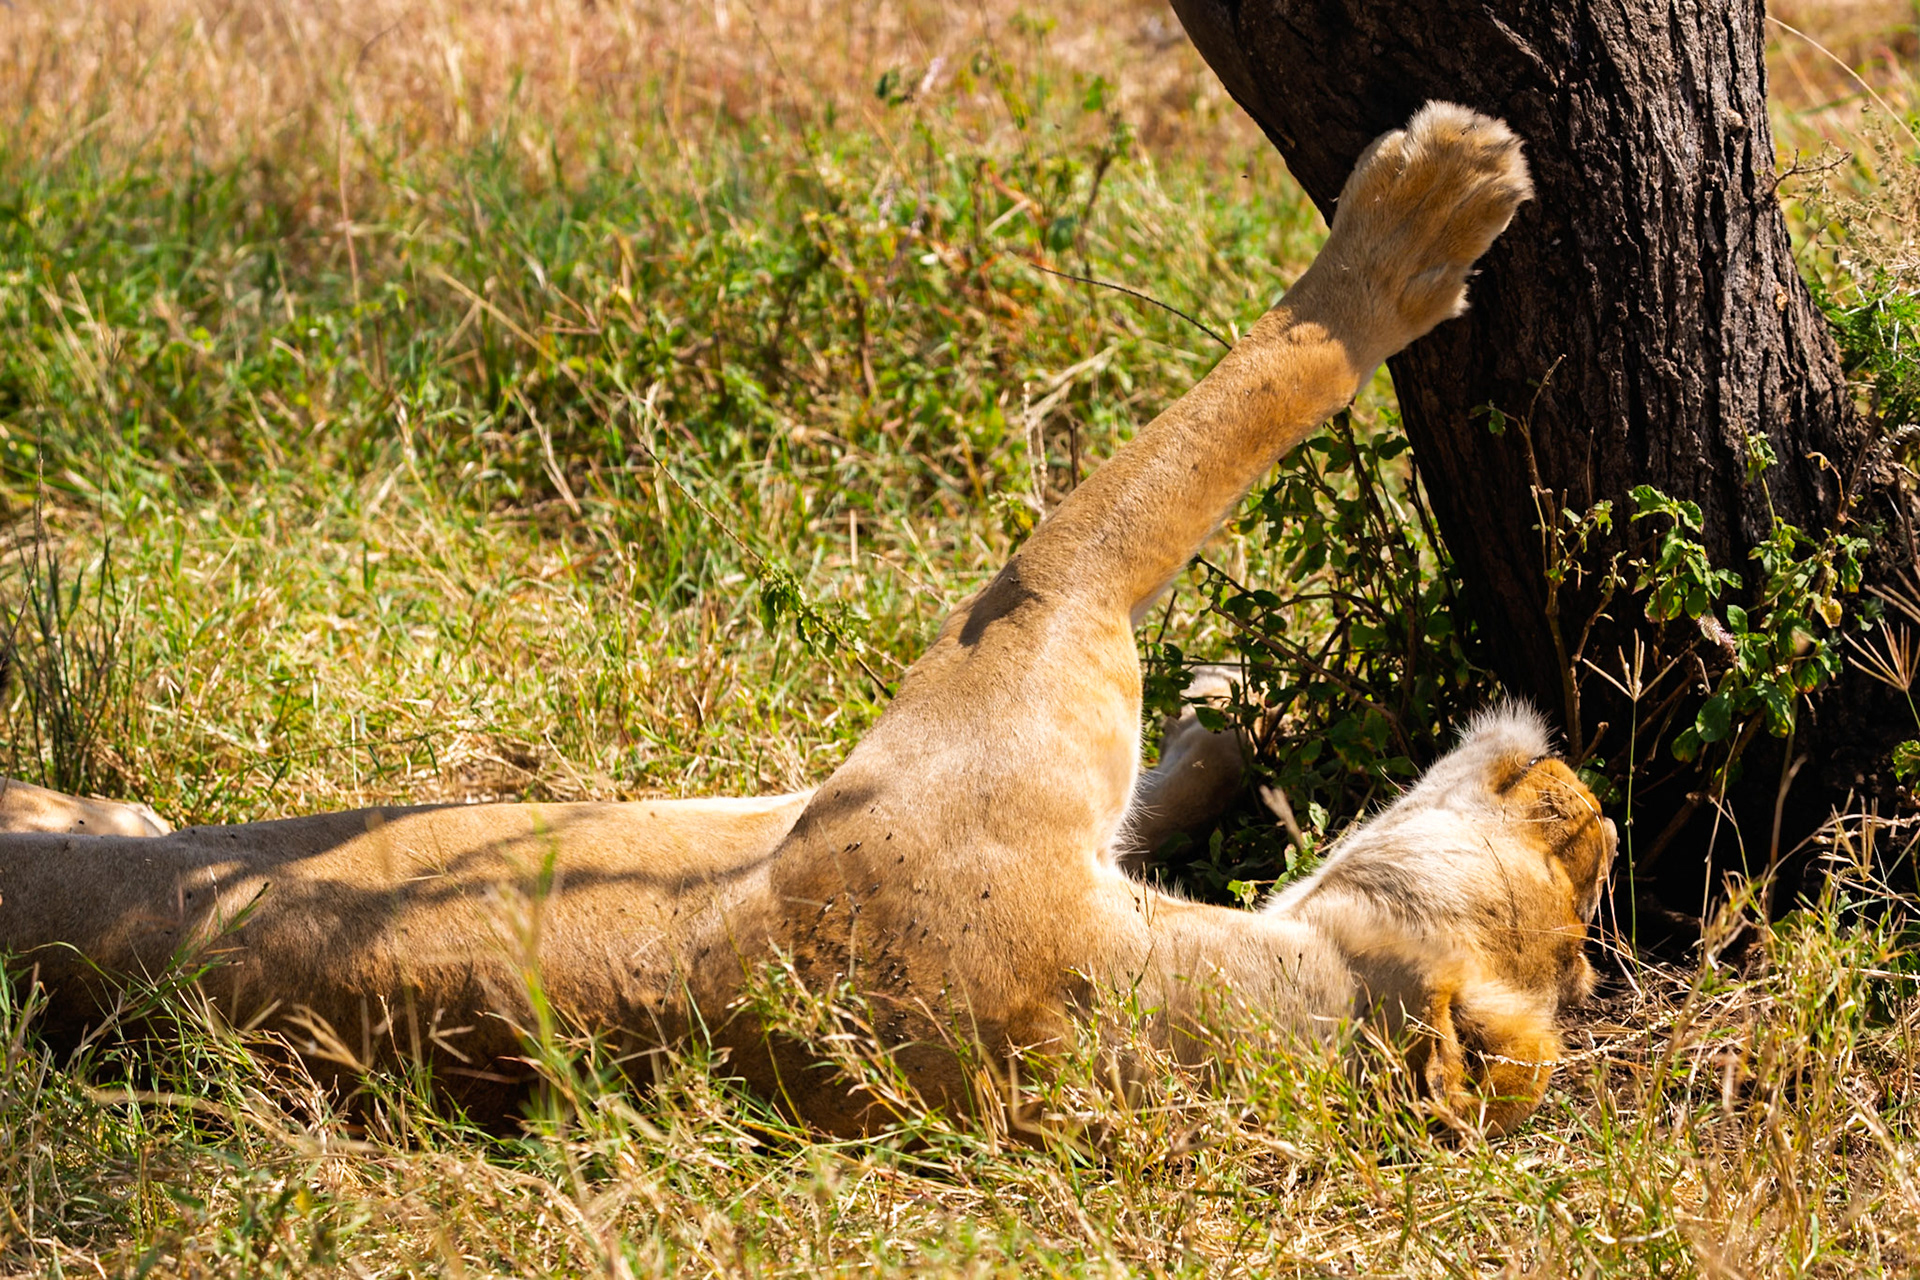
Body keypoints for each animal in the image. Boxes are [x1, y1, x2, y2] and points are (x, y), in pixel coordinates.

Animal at [0, 103, 1612, 1136]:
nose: (1582, 785)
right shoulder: (1030, 667)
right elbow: (1192, 459)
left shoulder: (1031, 638)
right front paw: (1229, 723)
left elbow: (1190, 444)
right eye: (1580, 880)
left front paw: (1422, 208)